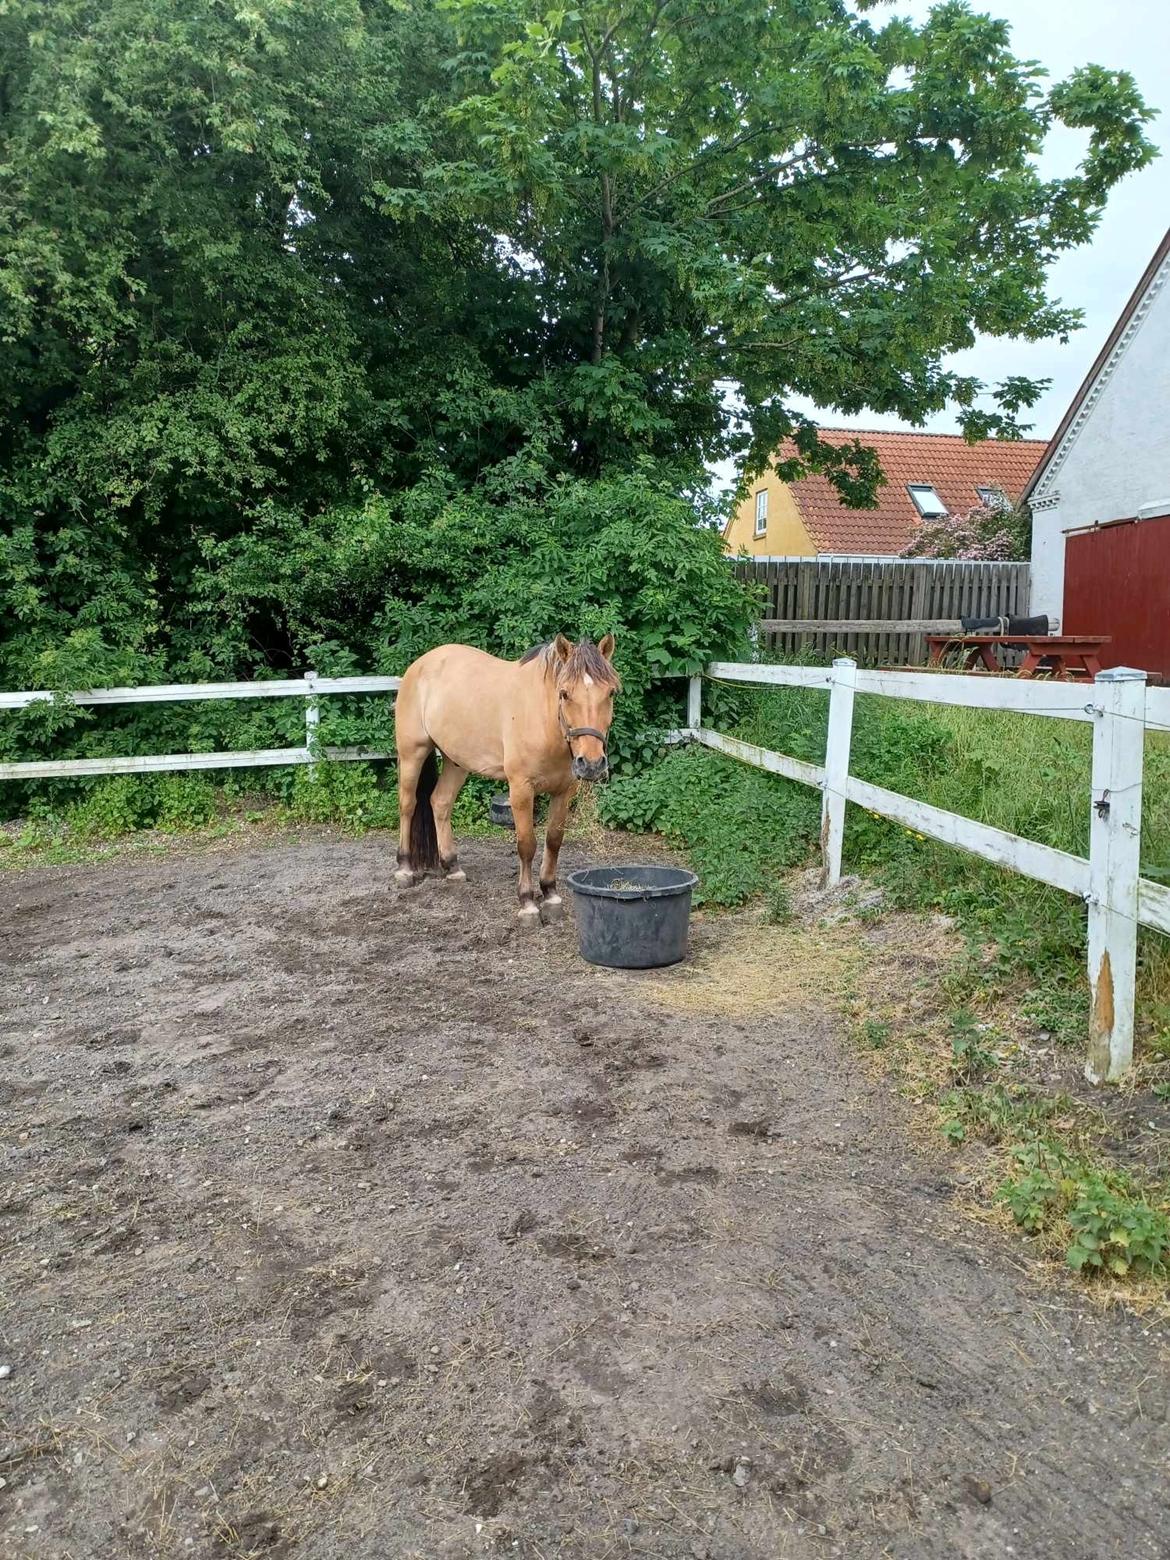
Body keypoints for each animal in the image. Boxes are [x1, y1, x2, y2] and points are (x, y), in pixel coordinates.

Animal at [394, 633, 617, 911]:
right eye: (564, 693)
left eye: (610, 692)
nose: (592, 764)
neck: (543, 720)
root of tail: (420, 664)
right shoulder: (520, 789)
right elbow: (527, 844)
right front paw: (527, 901)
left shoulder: (564, 791)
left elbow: (554, 840)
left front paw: (550, 892)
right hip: (412, 754)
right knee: (408, 805)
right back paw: (404, 868)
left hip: (456, 762)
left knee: (440, 802)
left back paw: (452, 866)